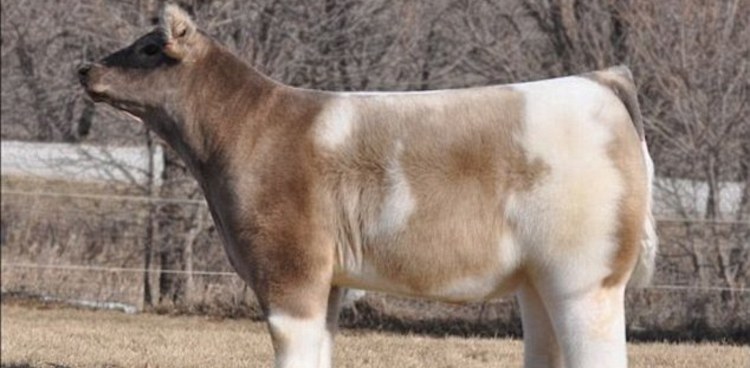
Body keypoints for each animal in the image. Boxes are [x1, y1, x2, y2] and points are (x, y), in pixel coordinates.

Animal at [79, 3, 660, 368]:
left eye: (150, 48)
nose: (85, 68)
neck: (249, 128)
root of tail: (599, 80)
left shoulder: (290, 268)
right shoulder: (330, 279)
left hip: (586, 279)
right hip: (539, 281)